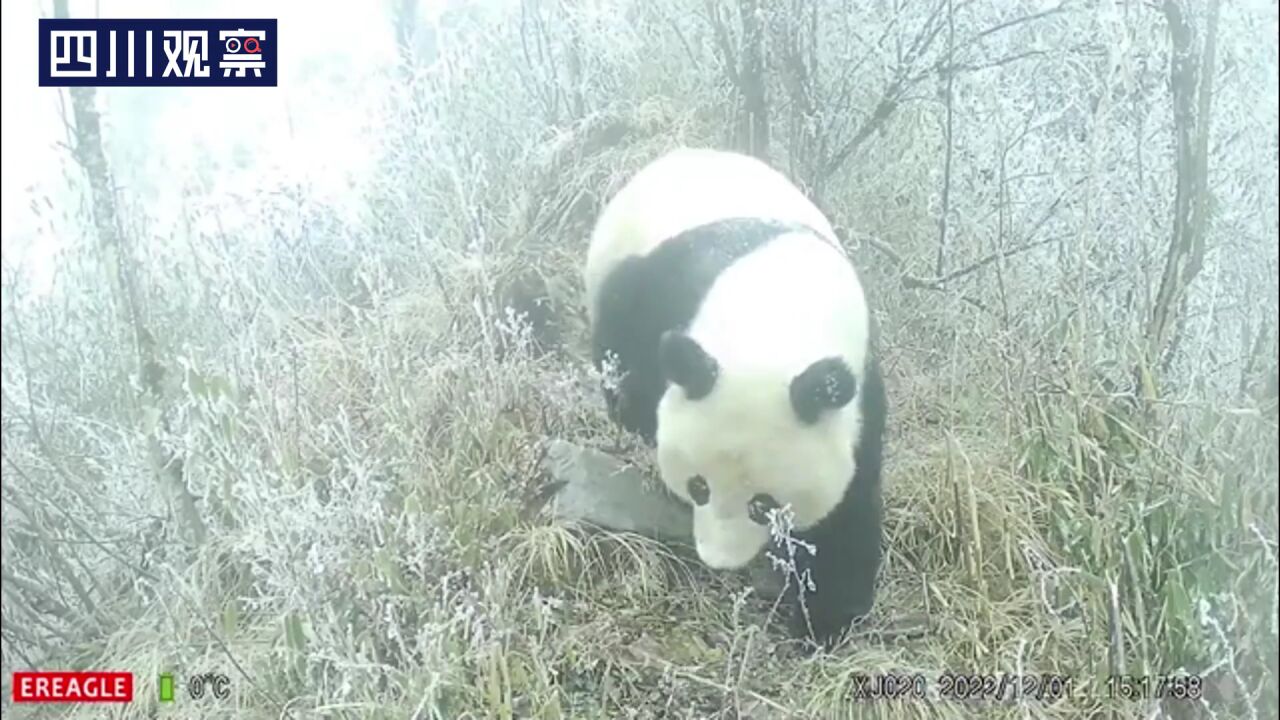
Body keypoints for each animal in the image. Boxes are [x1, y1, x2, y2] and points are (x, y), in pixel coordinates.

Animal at [586, 146, 885, 645]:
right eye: (699, 486)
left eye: (763, 506)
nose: (718, 561)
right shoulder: (667, 292)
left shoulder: (858, 392)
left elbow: (850, 503)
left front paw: (822, 620)